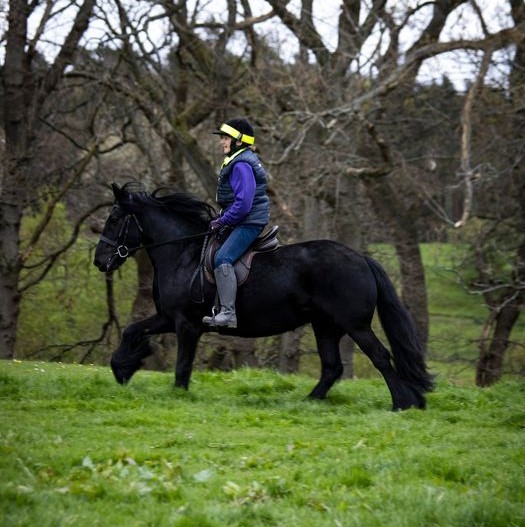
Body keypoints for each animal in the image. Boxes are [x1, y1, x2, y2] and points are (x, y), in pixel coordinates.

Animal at [92, 184, 432, 410]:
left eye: (114, 219)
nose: (99, 261)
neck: (182, 253)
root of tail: (361, 258)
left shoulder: (186, 325)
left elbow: (182, 366)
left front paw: (177, 395)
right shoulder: (167, 318)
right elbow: (131, 330)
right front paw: (123, 368)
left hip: (355, 325)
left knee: (380, 357)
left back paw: (402, 403)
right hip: (325, 326)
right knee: (332, 367)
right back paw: (308, 402)